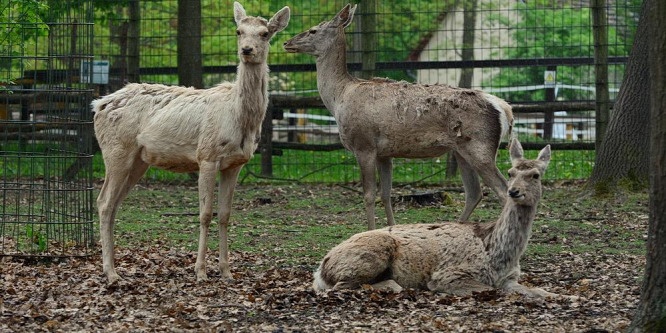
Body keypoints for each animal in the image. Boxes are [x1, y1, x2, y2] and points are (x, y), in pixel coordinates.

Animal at [92, 2, 290, 282]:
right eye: (238, 31)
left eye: (265, 33)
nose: (246, 50)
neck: (240, 119)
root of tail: (98, 106)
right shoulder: (207, 155)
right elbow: (205, 214)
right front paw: (201, 271)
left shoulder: (235, 164)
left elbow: (225, 215)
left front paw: (227, 272)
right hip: (116, 149)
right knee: (104, 202)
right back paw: (111, 273)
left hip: (139, 161)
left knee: (115, 202)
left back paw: (113, 268)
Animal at [282, 3, 510, 230]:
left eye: (313, 30)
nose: (286, 42)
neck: (339, 98)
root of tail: (503, 108)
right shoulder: (385, 153)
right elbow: (385, 194)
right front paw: (391, 229)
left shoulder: (364, 145)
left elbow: (368, 195)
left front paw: (371, 231)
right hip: (461, 150)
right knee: (475, 193)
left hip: (480, 147)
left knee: (503, 190)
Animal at [312, 139, 576, 300]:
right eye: (510, 172)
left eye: (536, 175)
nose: (514, 191)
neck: (496, 253)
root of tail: (321, 269)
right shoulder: (448, 275)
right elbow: (493, 290)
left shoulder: (510, 278)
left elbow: (539, 290)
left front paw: (568, 295)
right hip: (370, 254)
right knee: (339, 287)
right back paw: (394, 285)